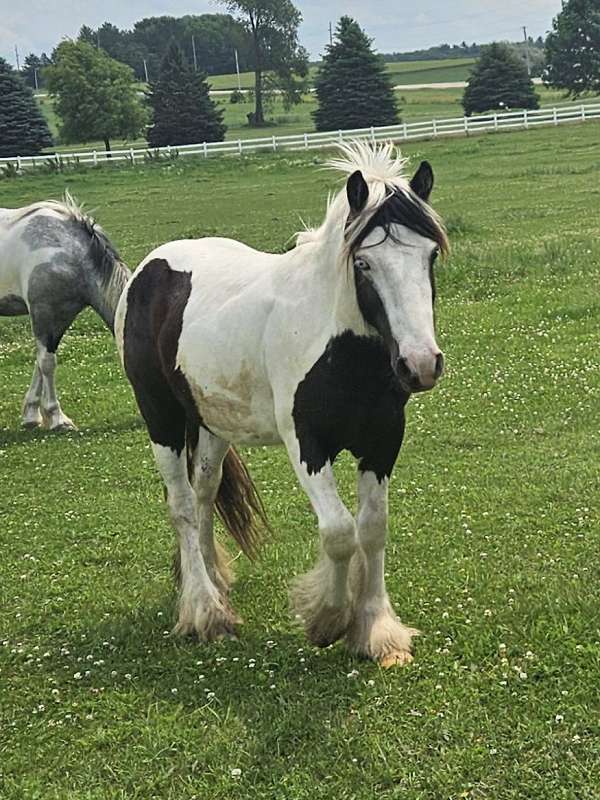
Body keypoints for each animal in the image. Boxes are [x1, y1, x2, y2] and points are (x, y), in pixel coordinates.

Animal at [0, 195, 131, 428]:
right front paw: (57, 418)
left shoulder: (61, 316)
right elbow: (47, 363)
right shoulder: (44, 312)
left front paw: (31, 415)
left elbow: (40, 363)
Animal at [116, 141, 450, 664]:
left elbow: (373, 528)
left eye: (430, 254)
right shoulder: (306, 444)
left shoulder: (383, 441)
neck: (339, 344)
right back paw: (205, 612)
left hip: (212, 424)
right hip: (161, 419)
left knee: (204, 493)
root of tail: (150, 268)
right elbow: (339, 531)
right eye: (363, 264)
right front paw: (327, 619)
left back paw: (215, 582)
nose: (420, 364)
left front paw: (376, 630)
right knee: (182, 505)